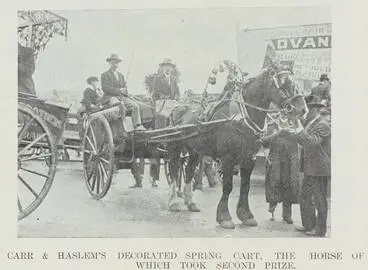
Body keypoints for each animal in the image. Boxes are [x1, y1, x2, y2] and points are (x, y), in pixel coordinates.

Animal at [166, 62, 308, 229]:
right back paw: (174, 202)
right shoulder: (228, 158)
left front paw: (246, 215)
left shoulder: (249, 158)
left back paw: (190, 202)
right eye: (284, 82)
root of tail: (177, 108)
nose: (302, 110)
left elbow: (245, 187)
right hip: (175, 147)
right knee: (174, 170)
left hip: (195, 150)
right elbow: (228, 186)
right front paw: (224, 217)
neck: (241, 117)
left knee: (188, 171)